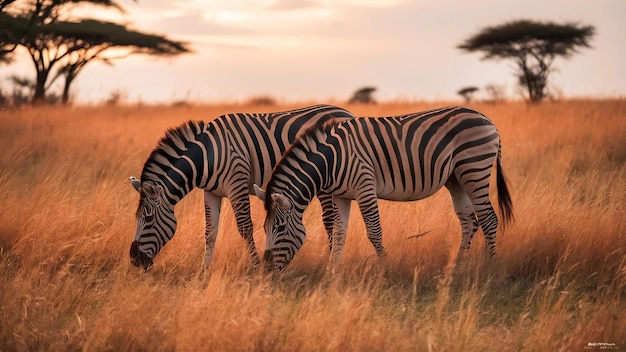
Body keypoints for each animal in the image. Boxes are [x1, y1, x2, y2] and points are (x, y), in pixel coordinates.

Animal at [127, 103, 354, 270]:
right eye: (136, 218)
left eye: (148, 219)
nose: (134, 260)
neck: (206, 157)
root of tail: (346, 112)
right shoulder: (211, 192)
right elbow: (210, 231)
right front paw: (204, 270)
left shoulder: (237, 184)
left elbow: (245, 227)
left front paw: (255, 266)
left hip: (327, 182)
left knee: (330, 220)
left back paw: (329, 262)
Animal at [254, 106, 512, 272]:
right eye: (265, 227)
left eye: (279, 227)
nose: (266, 269)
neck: (331, 160)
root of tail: (486, 118)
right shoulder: (341, 196)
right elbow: (339, 231)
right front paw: (332, 270)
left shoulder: (364, 185)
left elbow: (374, 231)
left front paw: (385, 266)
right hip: (456, 178)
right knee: (469, 220)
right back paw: (456, 265)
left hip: (474, 168)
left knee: (488, 219)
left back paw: (489, 266)